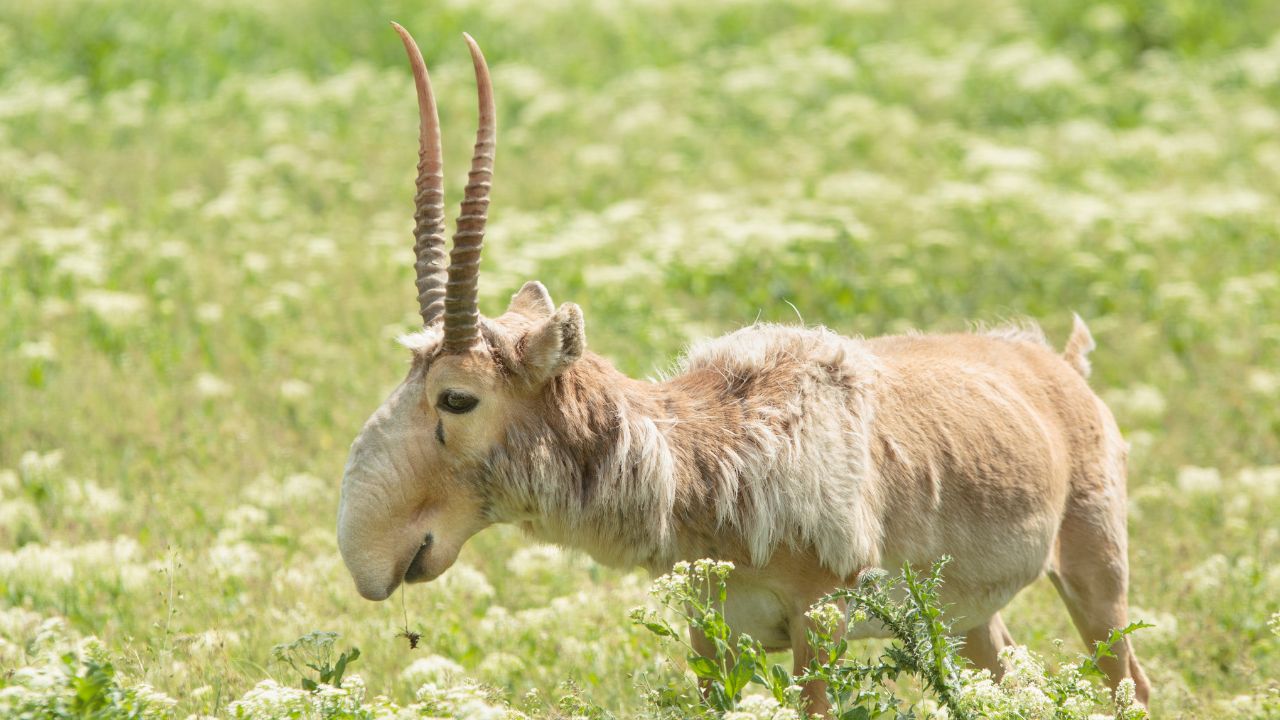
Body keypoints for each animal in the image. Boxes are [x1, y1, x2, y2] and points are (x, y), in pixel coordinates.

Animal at [335, 25, 1157, 707]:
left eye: (456, 398)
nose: (368, 556)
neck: (713, 447)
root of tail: (1057, 367)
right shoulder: (713, 630)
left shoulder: (819, 624)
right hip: (968, 620)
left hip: (1096, 577)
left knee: (1131, 686)